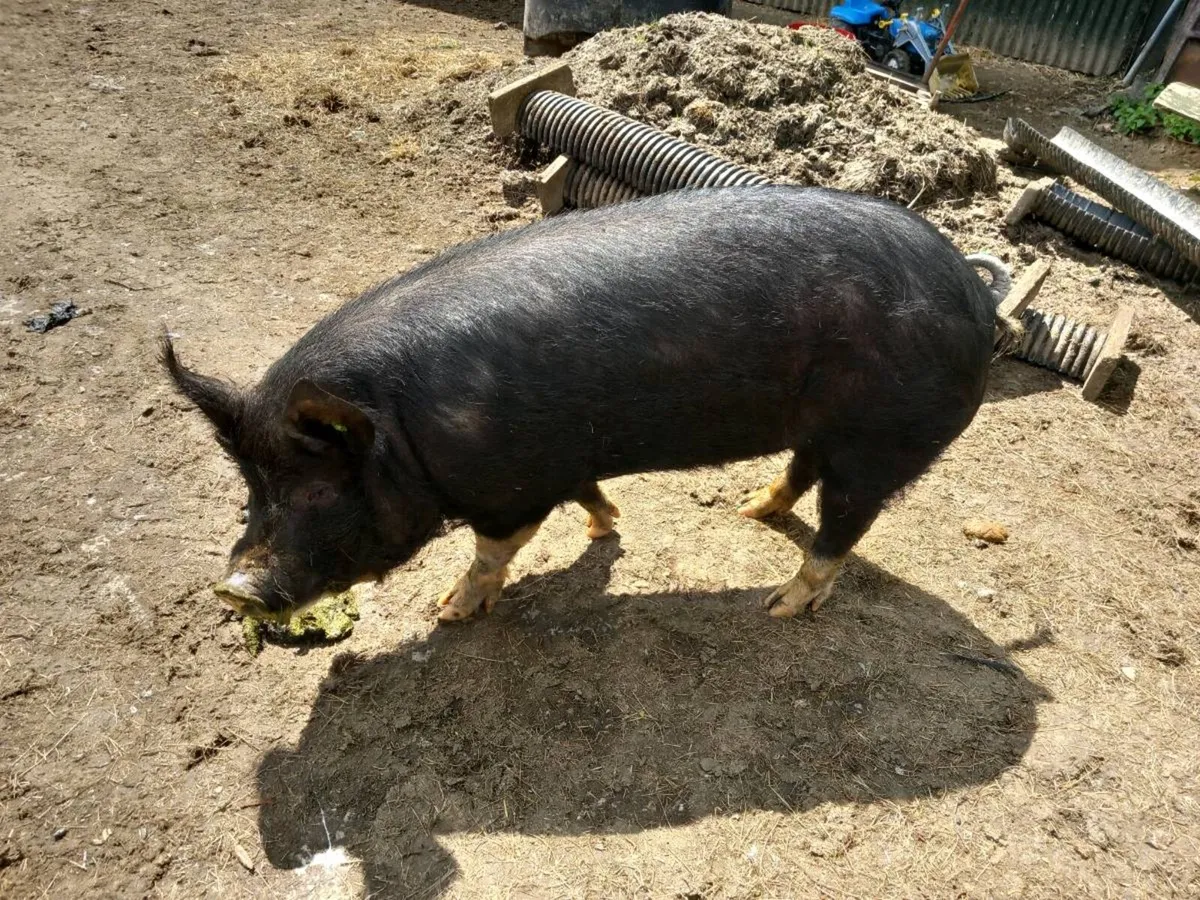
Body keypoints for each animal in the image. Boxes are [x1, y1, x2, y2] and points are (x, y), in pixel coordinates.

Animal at [163, 185, 1020, 625]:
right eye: (251, 491)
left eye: (314, 490)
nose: (231, 586)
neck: (406, 431)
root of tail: (977, 295)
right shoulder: (556, 458)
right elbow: (586, 495)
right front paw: (606, 524)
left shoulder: (505, 486)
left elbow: (495, 550)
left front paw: (446, 611)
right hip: (832, 428)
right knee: (800, 474)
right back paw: (748, 510)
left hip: (883, 438)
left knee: (845, 526)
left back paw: (778, 606)